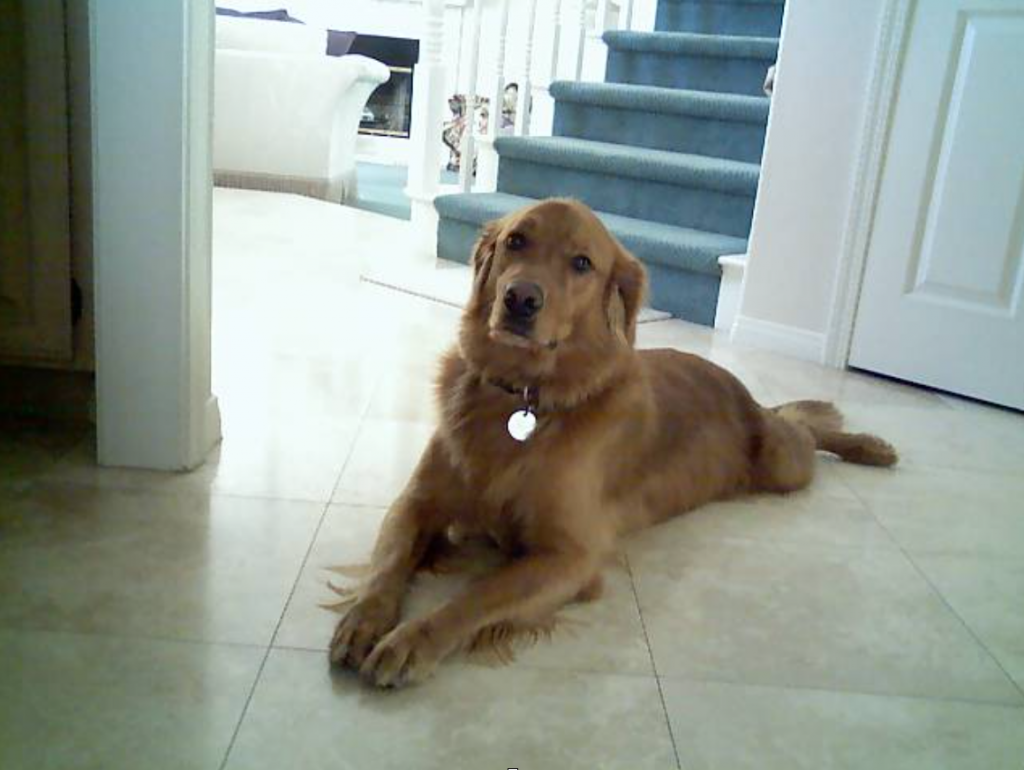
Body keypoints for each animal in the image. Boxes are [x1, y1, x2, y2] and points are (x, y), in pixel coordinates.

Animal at [329, 196, 897, 683]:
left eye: (582, 263)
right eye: (516, 241)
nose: (520, 299)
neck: (523, 398)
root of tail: (742, 390)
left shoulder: (569, 555)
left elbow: (475, 597)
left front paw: (412, 641)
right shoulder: (417, 502)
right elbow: (387, 564)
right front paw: (363, 620)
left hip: (783, 463)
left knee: (807, 424)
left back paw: (871, 446)